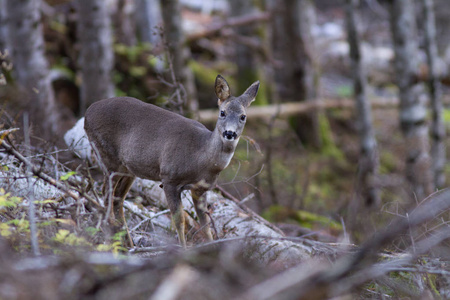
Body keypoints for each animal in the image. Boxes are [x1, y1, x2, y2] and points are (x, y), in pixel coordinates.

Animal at [85, 75, 260, 248]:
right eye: (222, 112)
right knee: (106, 193)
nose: (229, 133)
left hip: (128, 168)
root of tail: (87, 112)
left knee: (117, 198)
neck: (201, 158)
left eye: (243, 116)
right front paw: (183, 250)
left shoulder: (200, 189)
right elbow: (179, 221)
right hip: (108, 156)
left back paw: (128, 244)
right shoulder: (169, 178)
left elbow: (205, 225)